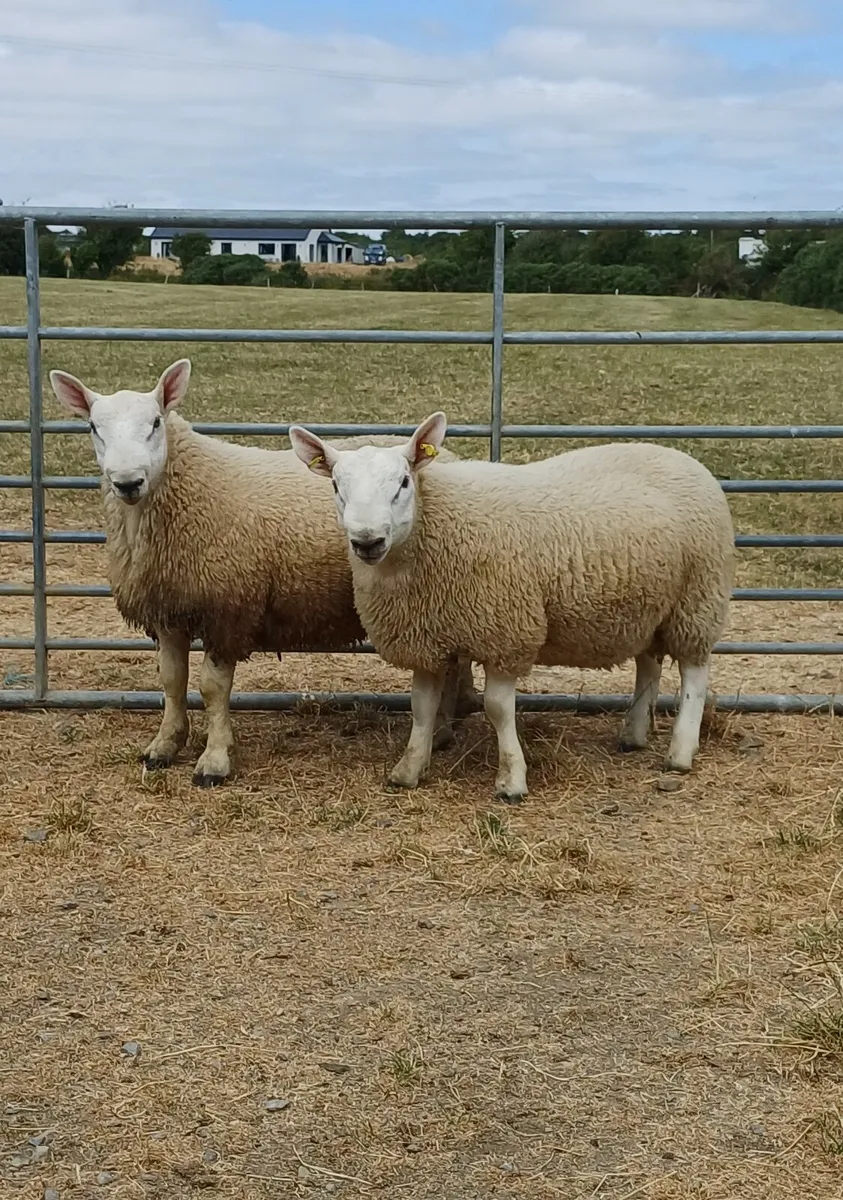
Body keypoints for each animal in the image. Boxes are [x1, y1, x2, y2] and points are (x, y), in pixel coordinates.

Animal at [48, 362, 477, 786]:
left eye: (156, 422)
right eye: (93, 427)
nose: (127, 482)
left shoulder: (229, 609)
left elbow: (212, 688)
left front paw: (215, 760)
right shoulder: (167, 610)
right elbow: (171, 680)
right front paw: (165, 744)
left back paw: (442, 728)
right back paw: (448, 725)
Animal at [289, 410, 736, 803]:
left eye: (402, 482)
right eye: (335, 486)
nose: (367, 541)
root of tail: (679, 456)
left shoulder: (506, 632)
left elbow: (498, 708)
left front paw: (511, 780)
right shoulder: (426, 638)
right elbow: (421, 708)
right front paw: (409, 770)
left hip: (698, 599)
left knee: (694, 674)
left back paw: (679, 754)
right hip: (647, 605)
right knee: (648, 663)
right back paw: (634, 734)